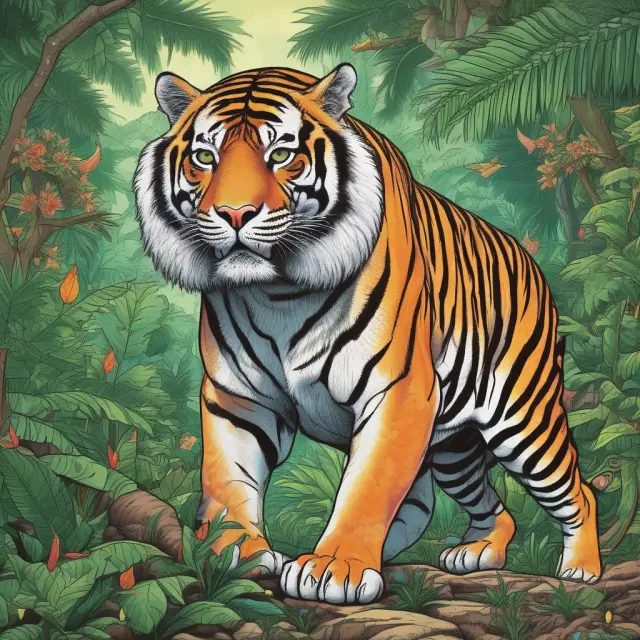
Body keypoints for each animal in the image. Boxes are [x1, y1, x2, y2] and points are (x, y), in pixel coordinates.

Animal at [134, 63, 601, 605]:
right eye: (204, 158)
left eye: (281, 155)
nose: (233, 214)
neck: (278, 294)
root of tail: (534, 266)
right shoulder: (238, 398)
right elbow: (227, 478)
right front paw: (233, 554)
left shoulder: (398, 391)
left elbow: (366, 486)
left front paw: (334, 568)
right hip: (453, 449)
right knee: (462, 506)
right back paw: (475, 550)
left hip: (525, 421)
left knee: (578, 492)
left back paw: (582, 570)